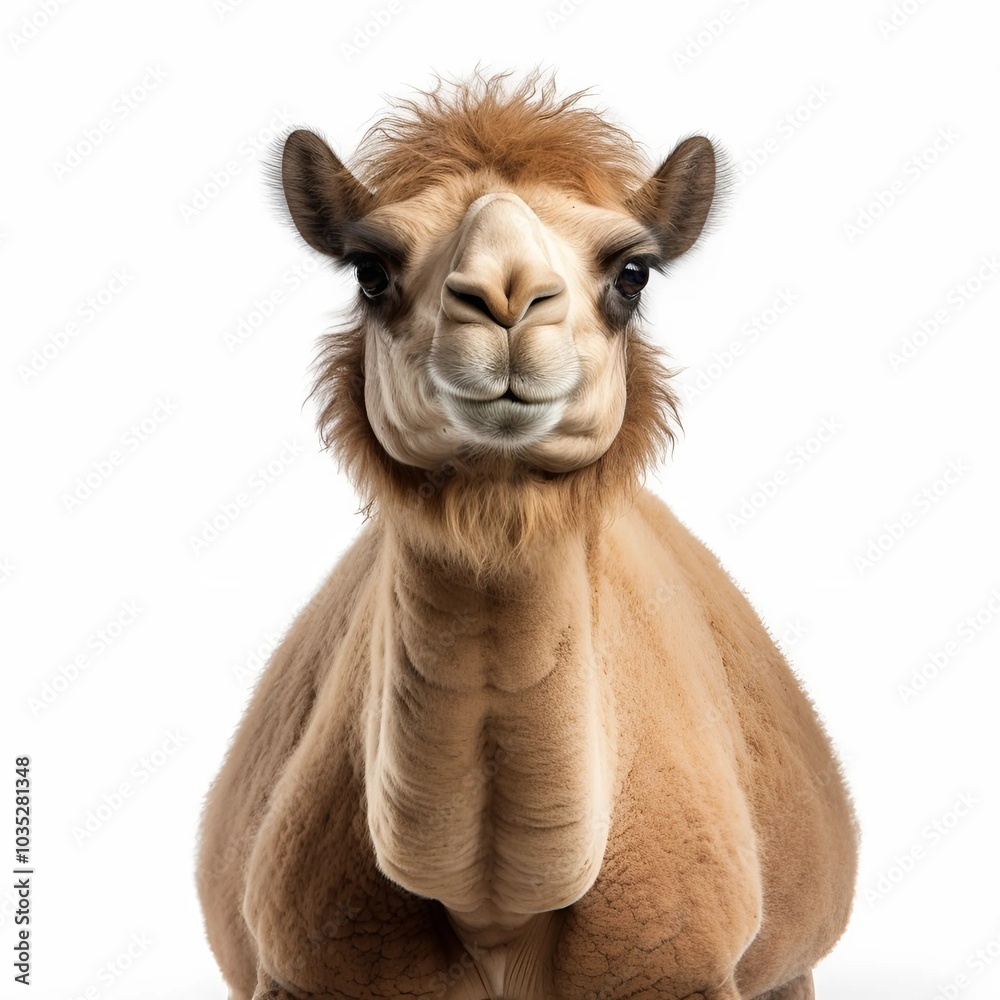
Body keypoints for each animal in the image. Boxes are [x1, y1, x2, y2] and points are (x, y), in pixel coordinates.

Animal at [196, 72, 858, 1000]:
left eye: (632, 272)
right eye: (370, 269)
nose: (507, 301)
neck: (495, 917)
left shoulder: (694, 972)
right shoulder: (299, 973)